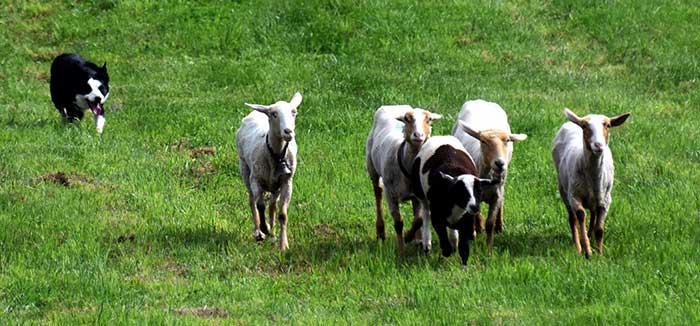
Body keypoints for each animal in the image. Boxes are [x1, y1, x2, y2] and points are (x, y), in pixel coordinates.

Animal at [237, 91, 302, 250]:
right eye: (274, 114)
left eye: (294, 112)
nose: (288, 132)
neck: (276, 155)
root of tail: (258, 111)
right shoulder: (256, 179)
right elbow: (260, 205)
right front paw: (264, 228)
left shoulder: (287, 182)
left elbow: (283, 214)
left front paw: (283, 245)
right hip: (245, 169)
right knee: (252, 201)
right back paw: (259, 232)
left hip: (276, 184)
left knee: (273, 202)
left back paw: (272, 227)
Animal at [452, 100, 528, 252]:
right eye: (484, 141)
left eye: (507, 141)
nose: (500, 163)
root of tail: (480, 100)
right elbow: (475, 214)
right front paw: (474, 233)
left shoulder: (496, 194)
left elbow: (490, 223)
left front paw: (489, 249)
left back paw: (500, 226)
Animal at [556, 107, 632, 258]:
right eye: (585, 126)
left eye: (607, 125)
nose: (598, 145)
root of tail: (572, 122)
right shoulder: (574, 196)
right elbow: (580, 217)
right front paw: (587, 251)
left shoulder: (606, 201)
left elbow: (600, 229)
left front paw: (599, 254)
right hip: (563, 189)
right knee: (572, 218)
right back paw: (578, 245)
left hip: (596, 198)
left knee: (593, 214)